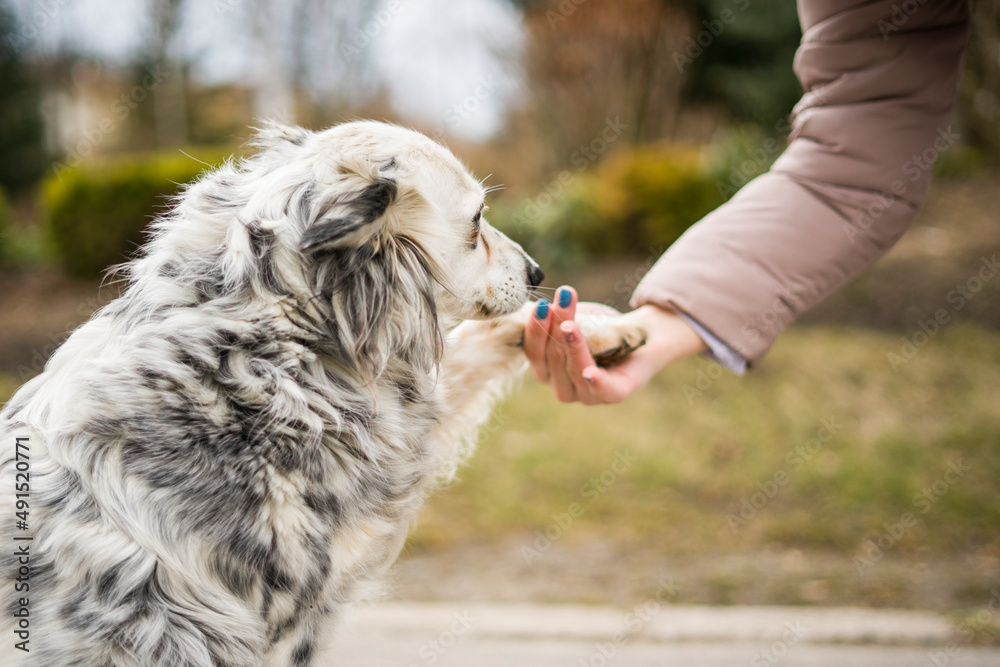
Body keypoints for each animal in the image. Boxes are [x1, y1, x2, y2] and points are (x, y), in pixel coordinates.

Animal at [0, 121, 644, 667]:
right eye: (477, 218)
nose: (537, 273)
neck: (275, 340)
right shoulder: (291, 614)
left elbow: (482, 338)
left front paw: (596, 328)